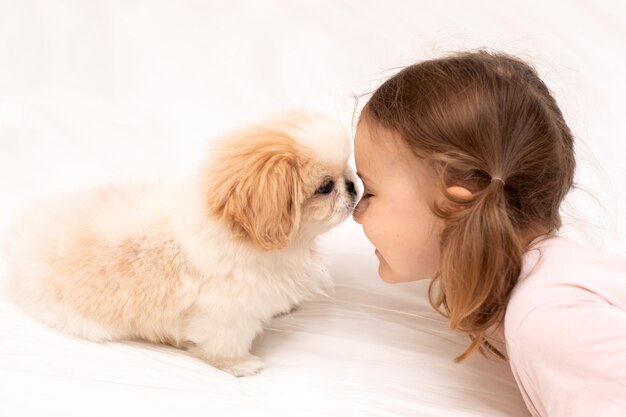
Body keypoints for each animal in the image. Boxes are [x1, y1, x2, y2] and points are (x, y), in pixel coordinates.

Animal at [5, 111, 358, 376]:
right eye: (326, 187)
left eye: (348, 170)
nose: (354, 185)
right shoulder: (227, 314)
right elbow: (224, 346)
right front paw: (242, 366)